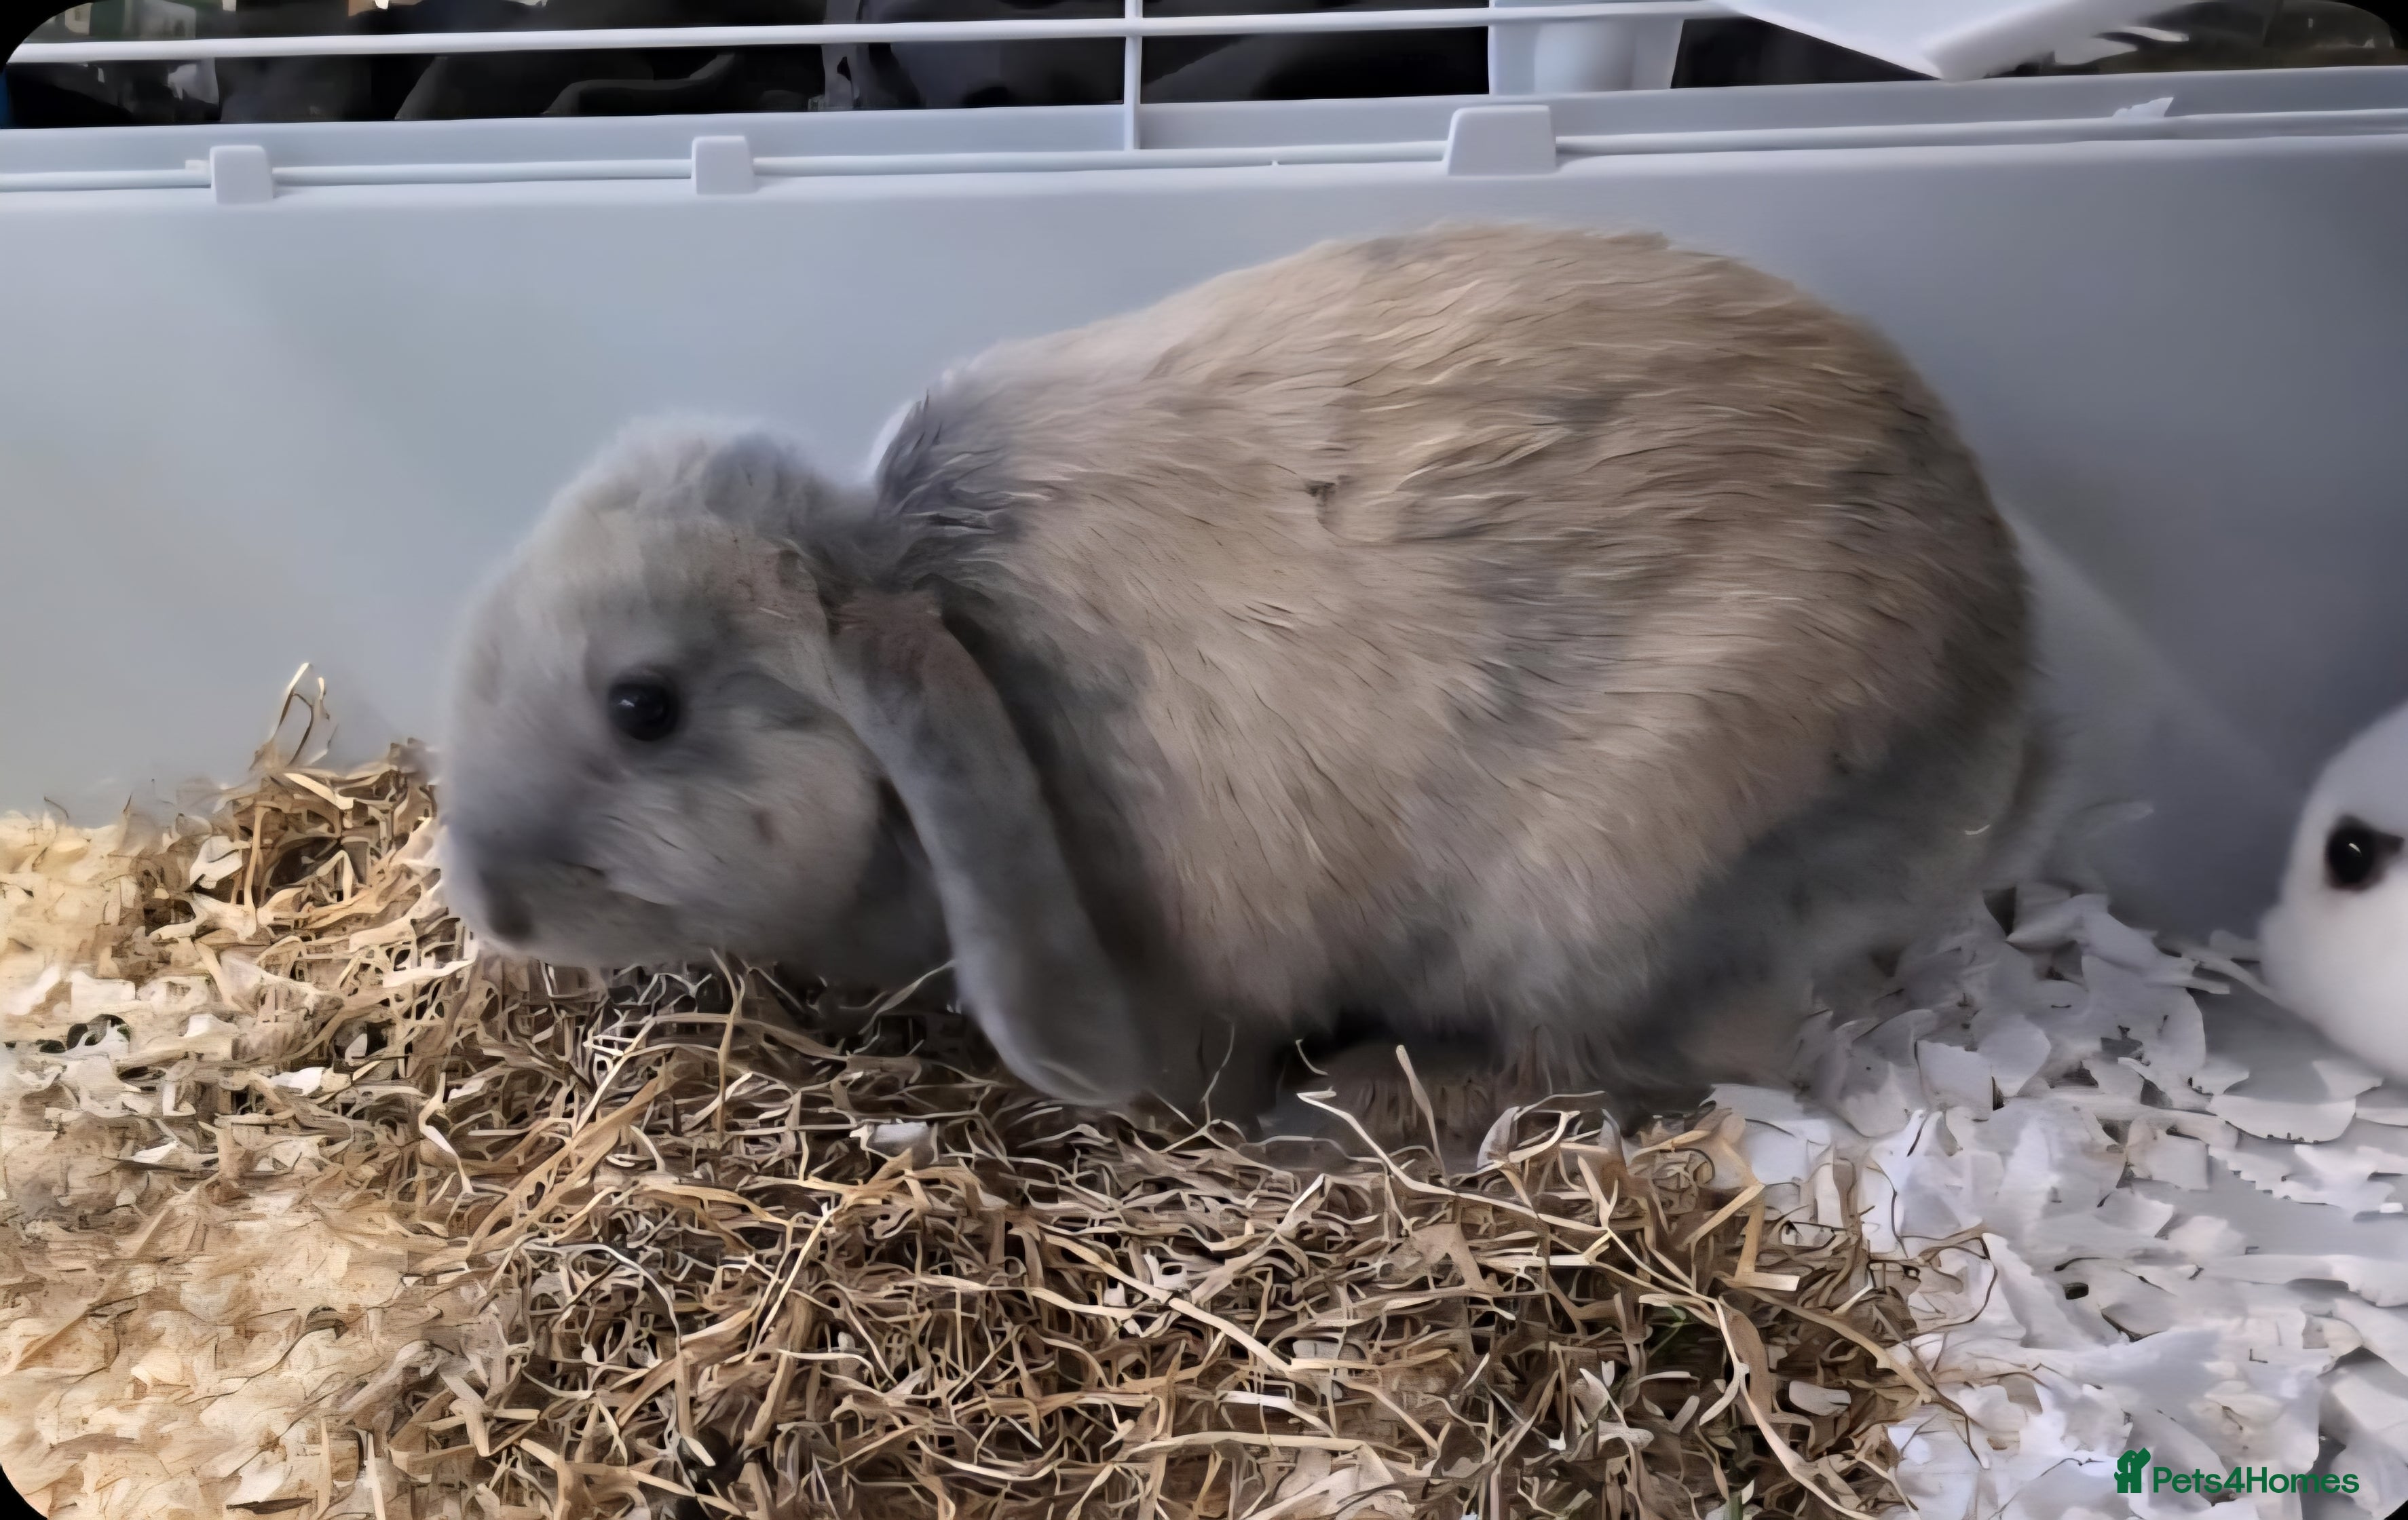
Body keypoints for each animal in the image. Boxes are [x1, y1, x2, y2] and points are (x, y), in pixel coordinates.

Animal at [437, 223, 2039, 1147]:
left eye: (644, 705)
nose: (488, 905)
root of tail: (2004, 725)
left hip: (1617, 892)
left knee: (1640, 1063)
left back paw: (1351, 1108)